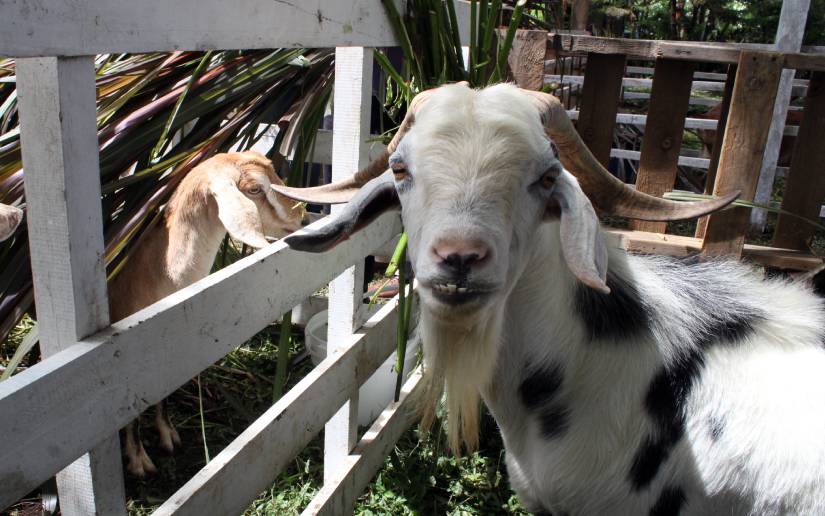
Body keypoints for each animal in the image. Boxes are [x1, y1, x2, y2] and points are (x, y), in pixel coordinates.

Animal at [109, 150, 304, 477]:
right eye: (254, 189)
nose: (300, 216)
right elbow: (131, 418)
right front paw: (138, 461)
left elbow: (164, 396)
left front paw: (168, 436)